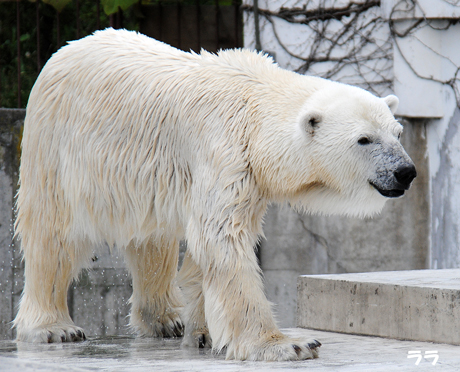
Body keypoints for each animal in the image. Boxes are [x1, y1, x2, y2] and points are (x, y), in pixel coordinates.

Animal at [14, 28, 416, 360]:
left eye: (397, 132)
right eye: (364, 139)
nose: (406, 172)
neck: (254, 105)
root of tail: (66, 49)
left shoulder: (247, 175)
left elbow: (205, 250)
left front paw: (202, 332)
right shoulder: (224, 149)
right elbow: (223, 238)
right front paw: (288, 344)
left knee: (152, 239)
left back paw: (167, 320)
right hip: (56, 145)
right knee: (53, 234)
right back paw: (53, 328)